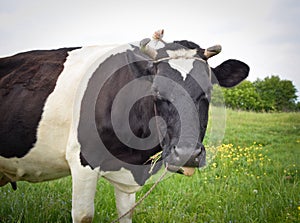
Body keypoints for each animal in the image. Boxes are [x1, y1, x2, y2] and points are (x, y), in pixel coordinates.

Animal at [0, 31, 248, 223]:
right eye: (156, 91)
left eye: (208, 91)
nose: (187, 154)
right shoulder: (82, 160)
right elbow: (84, 215)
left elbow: (126, 214)